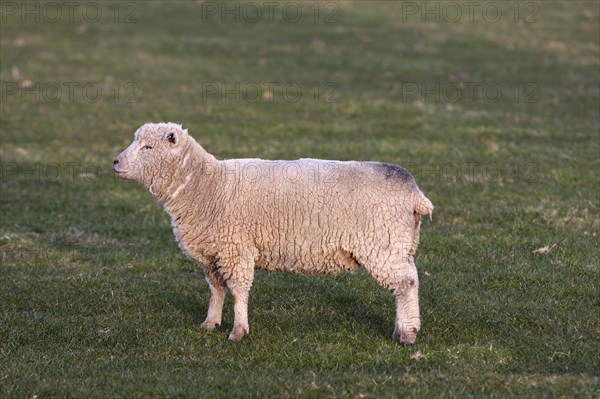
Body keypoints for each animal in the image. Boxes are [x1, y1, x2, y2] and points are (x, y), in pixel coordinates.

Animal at [111, 122, 432, 344]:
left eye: (148, 148)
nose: (115, 162)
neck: (206, 185)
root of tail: (414, 192)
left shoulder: (235, 247)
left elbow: (239, 289)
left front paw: (238, 331)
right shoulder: (215, 252)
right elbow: (216, 289)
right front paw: (210, 322)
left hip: (382, 244)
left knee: (405, 284)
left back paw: (407, 333)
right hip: (399, 244)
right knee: (410, 280)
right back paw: (407, 327)